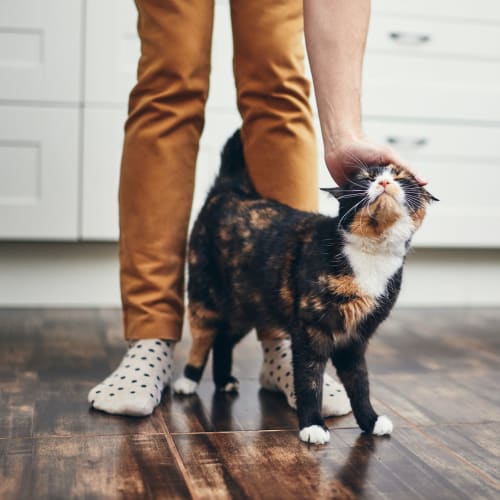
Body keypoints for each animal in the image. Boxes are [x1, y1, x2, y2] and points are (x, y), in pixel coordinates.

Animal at [173, 130, 438, 446]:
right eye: (366, 178)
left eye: (401, 178)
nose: (384, 182)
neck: (372, 254)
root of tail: (230, 190)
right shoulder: (311, 330)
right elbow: (310, 380)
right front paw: (312, 425)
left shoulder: (356, 338)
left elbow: (360, 383)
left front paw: (370, 420)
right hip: (205, 296)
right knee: (203, 338)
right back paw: (188, 380)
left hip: (247, 307)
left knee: (224, 339)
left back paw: (224, 380)